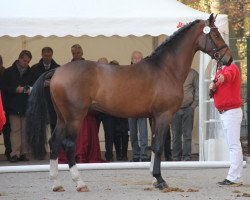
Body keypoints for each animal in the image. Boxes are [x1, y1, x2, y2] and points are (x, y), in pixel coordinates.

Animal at [25, 13, 232, 191]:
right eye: (215, 34)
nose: (228, 59)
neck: (166, 69)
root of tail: (57, 71)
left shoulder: (154, 117)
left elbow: (154, 145)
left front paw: (154, 178)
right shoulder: (164, 115)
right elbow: (158, 146)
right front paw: (160, 180)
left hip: (62, 117)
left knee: (54, 142)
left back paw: (56, 183)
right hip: (75, 117)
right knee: (67, 145)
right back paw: (79, 182)